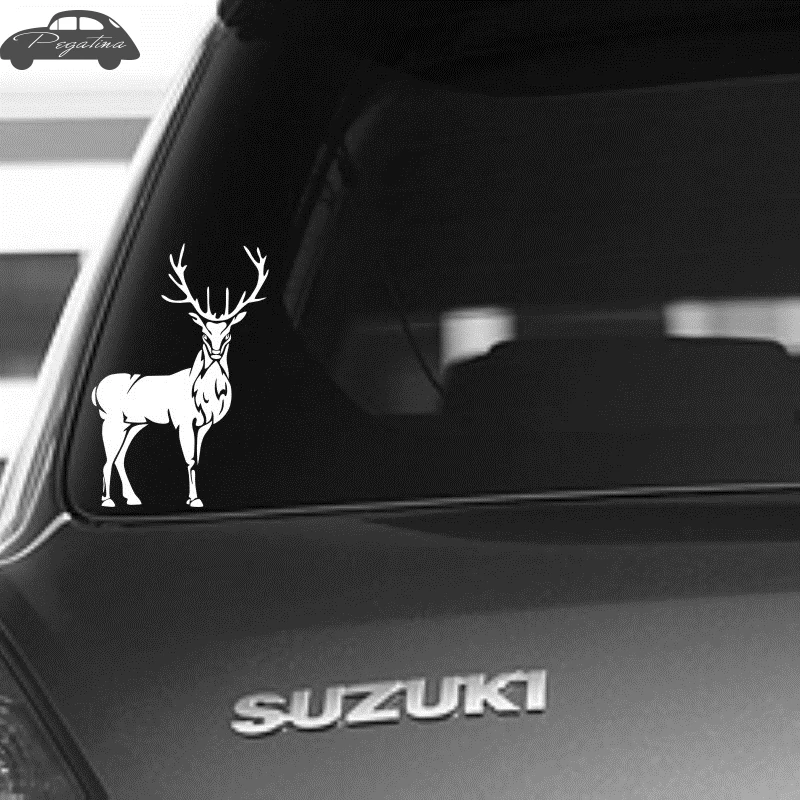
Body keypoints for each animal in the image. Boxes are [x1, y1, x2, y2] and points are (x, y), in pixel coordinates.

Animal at [91, 244, 268, 508]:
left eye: (227, 334)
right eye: (204, 333)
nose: (216, 353)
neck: (206, 394)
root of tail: (96, 391)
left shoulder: (205, 425)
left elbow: (197, 459)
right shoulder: (184, 421)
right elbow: (189, 459)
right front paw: (194, 500)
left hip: (133, 424)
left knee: (120, 457)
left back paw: (133, 498)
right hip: (111, 422)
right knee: (107, 460)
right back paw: (107, 500)